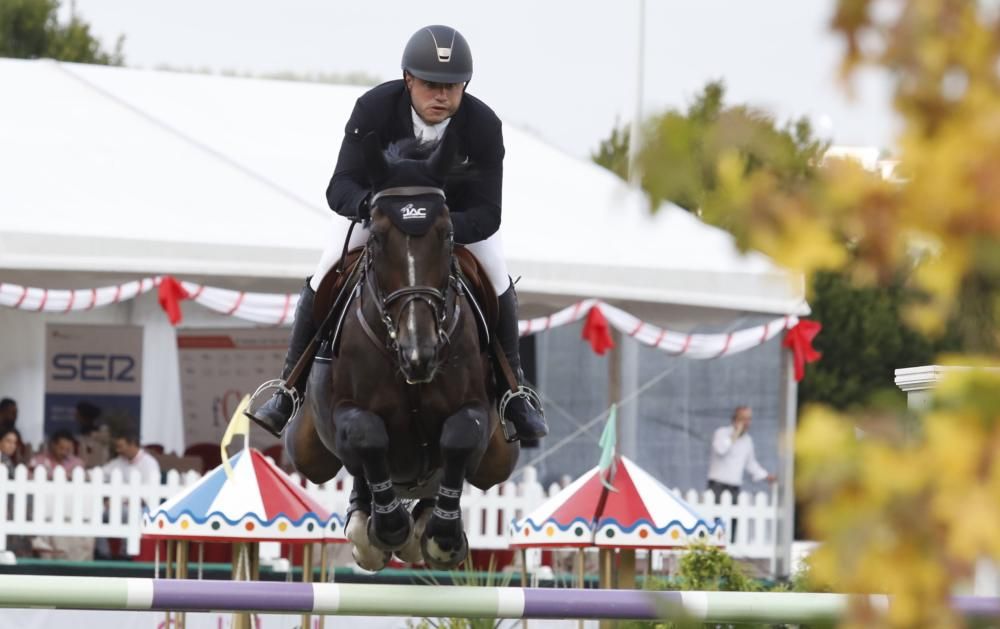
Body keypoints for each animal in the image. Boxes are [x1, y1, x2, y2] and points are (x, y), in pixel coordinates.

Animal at [282, 131, 516, 568]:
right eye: (376, 237)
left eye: (448, 235)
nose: (418, 354)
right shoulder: (344, 414)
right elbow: (366, 435)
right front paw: (388, 528)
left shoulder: (476, 411)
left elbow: (459, 437)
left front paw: (442, 535)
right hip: (306, 450)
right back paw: (369, 527)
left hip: (498, 459)